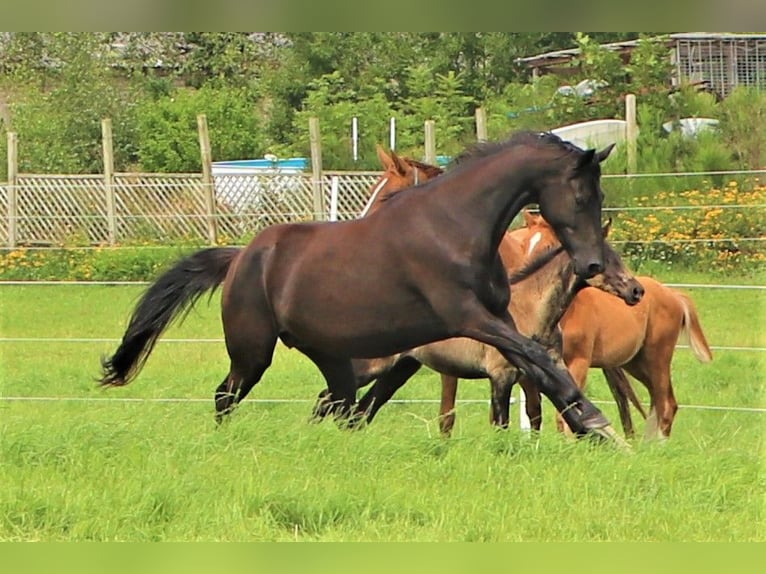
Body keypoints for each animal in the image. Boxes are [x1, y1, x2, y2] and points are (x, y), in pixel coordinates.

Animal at [100, 132, 624, 440]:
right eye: (582, 194)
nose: (591, 262)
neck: (455, 226)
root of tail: (241, 257)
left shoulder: (496, 320)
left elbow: (537, 364)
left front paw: (588, 423)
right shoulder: (468, 316)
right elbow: (534, 358)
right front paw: (595, 421)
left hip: (333, 359)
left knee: (338, 406)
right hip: (254, 353)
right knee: (227, 395)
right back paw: (225, 443)